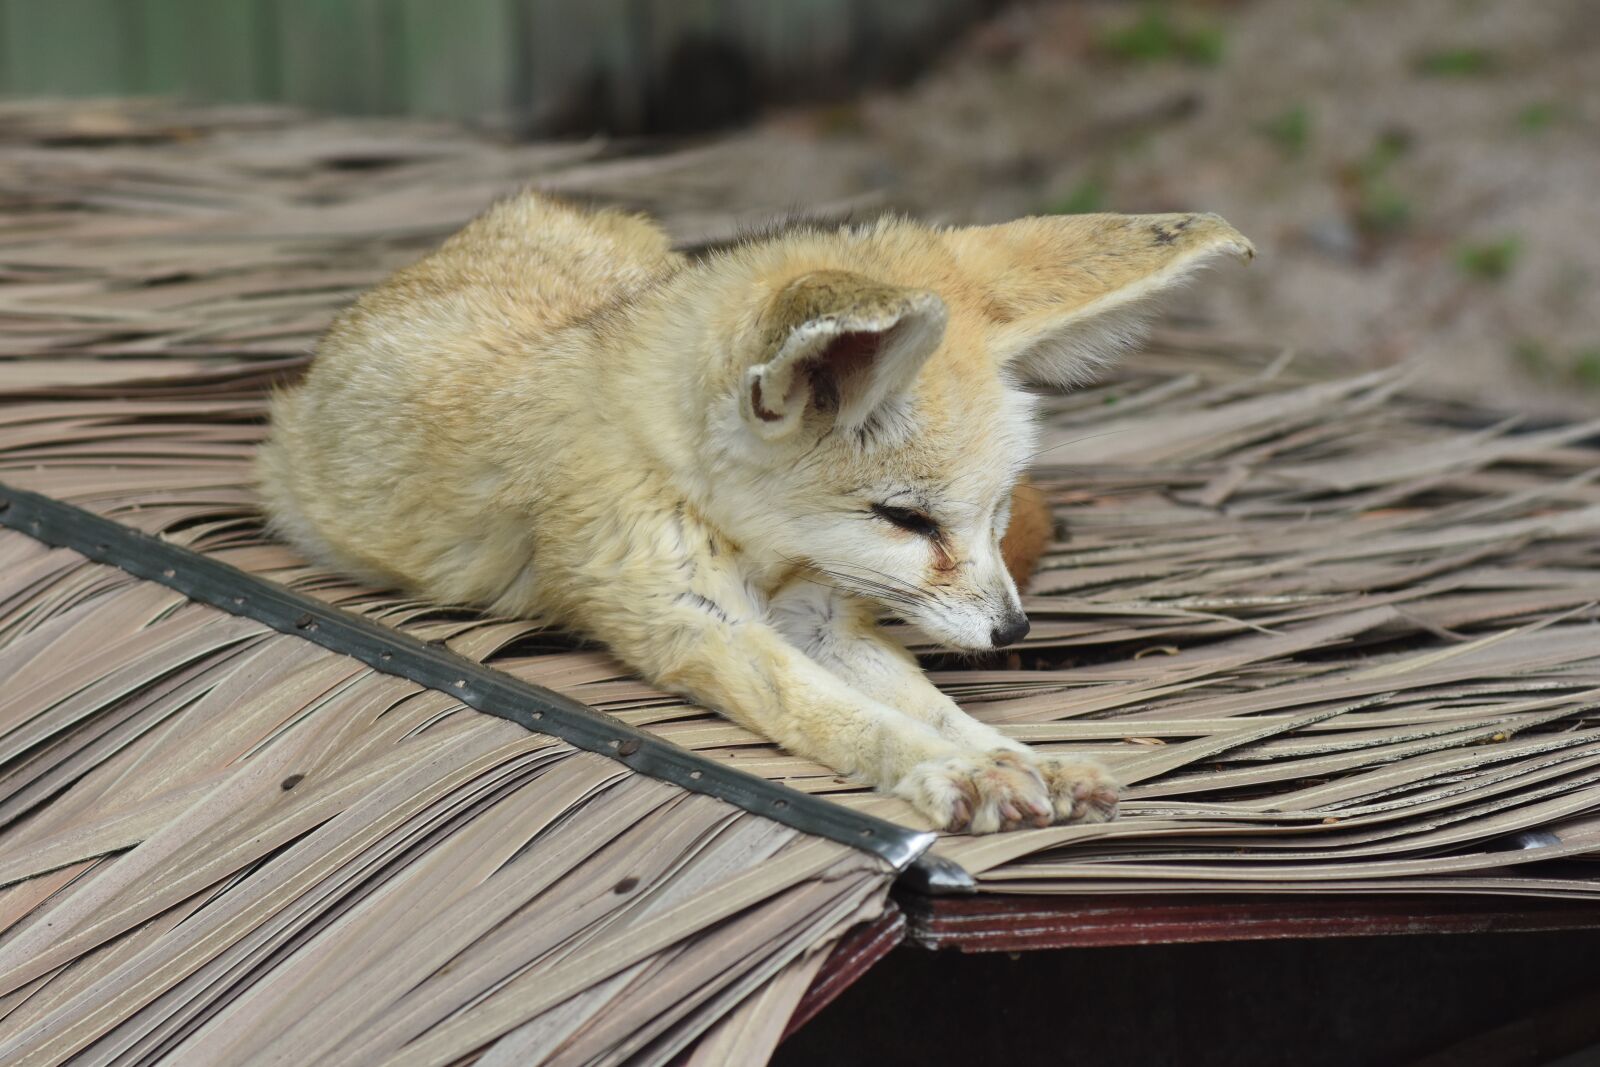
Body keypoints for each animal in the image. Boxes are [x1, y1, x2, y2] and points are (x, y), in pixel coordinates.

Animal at [257, 192, 1250, 834]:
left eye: (996, 511)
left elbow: (929, 703)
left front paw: (1017, 754)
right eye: (907, 519)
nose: (1014, 632)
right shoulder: (692, 621)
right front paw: (951, 771)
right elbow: (840, 715)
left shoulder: (819, 617)